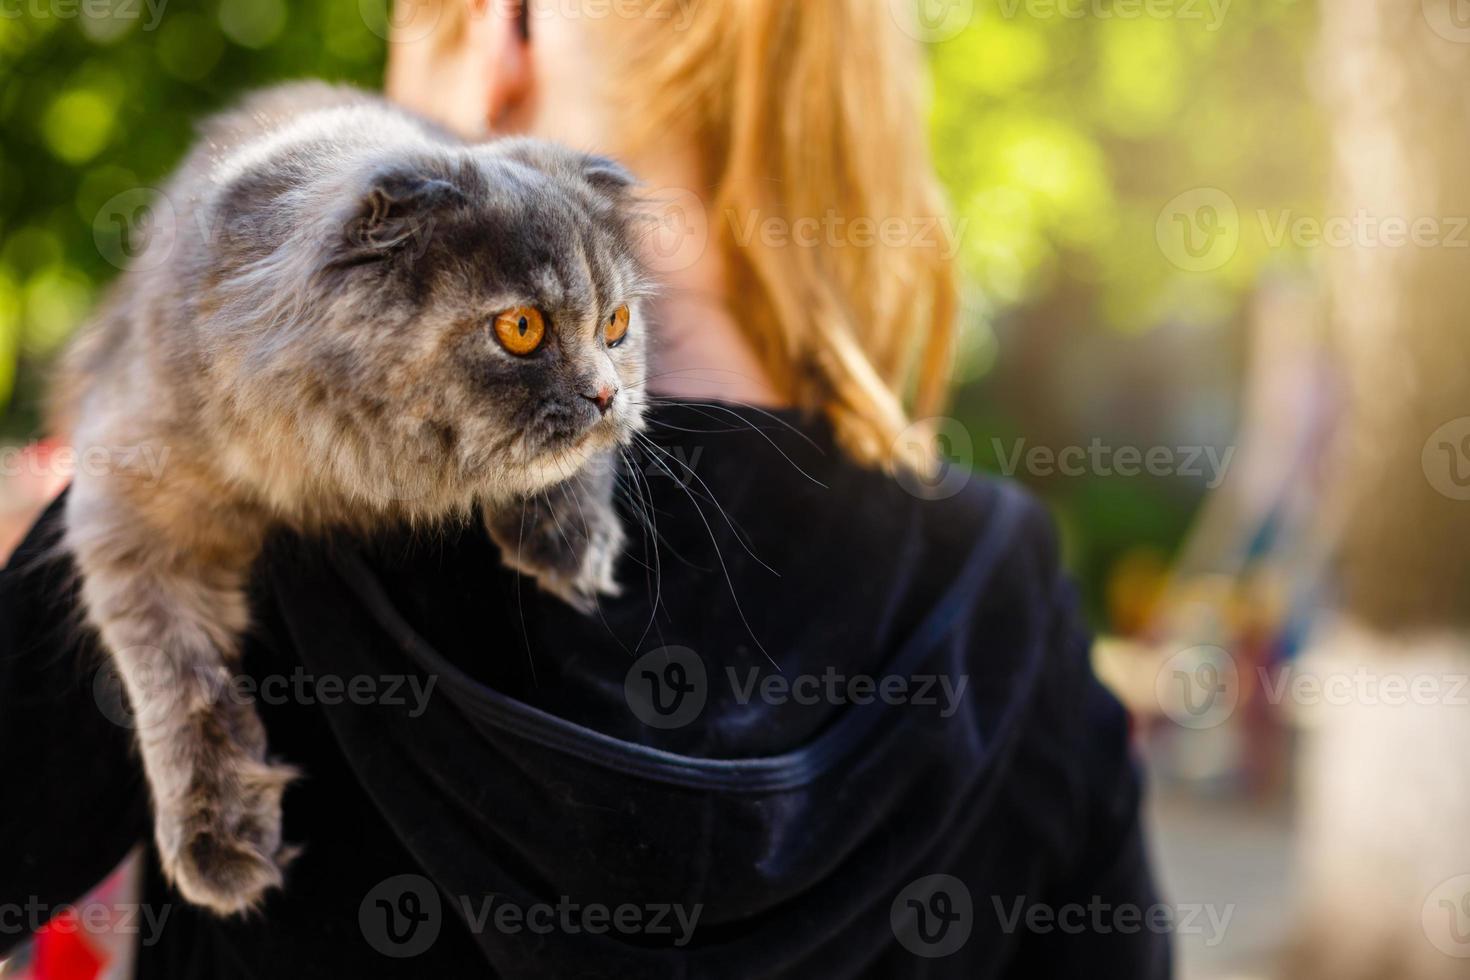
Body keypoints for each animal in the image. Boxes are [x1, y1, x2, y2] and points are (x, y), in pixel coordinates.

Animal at [50, 82, 649, 910]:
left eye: (617, 325)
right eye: (522, 328)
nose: (606, 395)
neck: (347, 473)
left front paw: (569, 540)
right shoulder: (130, 500)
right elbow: (178, 682)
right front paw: (217, 834)